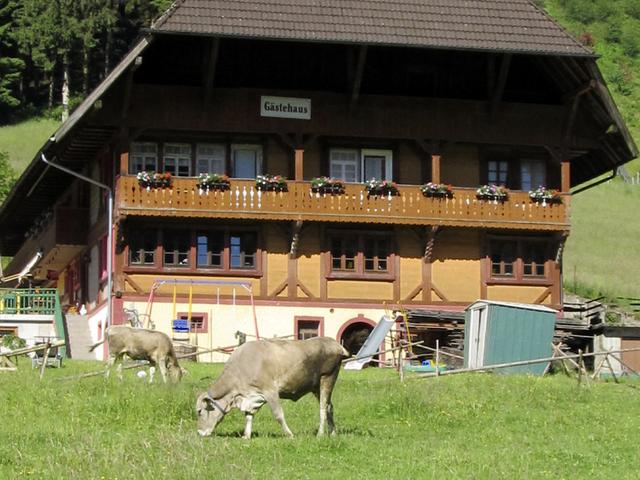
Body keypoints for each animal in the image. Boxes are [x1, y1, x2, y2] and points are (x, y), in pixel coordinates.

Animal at [196, 338, 350, 438]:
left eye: (199, 411)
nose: (200, 433)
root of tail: (334, 343)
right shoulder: (252, 396)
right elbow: (249, 416)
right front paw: (246, 436)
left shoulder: (270, 391)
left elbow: (278, 415)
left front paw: (289, 434)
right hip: (316, 386)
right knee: (329, 407)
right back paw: (333, 433)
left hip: (327, 377)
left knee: (323, 408)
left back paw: (320, 434)